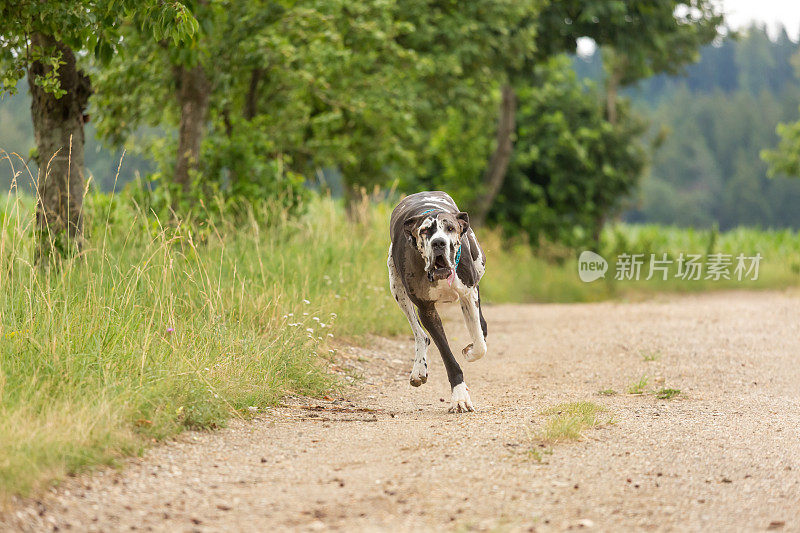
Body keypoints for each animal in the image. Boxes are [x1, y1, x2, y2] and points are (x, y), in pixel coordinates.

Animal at [388, 191, 488, 412]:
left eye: (450, 228)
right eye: (425, 230)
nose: (439, 243)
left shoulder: (468, 294)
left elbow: (479, 343)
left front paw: (470, 351)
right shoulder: (426, 310)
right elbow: (447, 355)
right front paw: (460, 397)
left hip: (479, 265)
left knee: (481, 324)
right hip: (396, 288)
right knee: (421, 335)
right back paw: (419, 368)